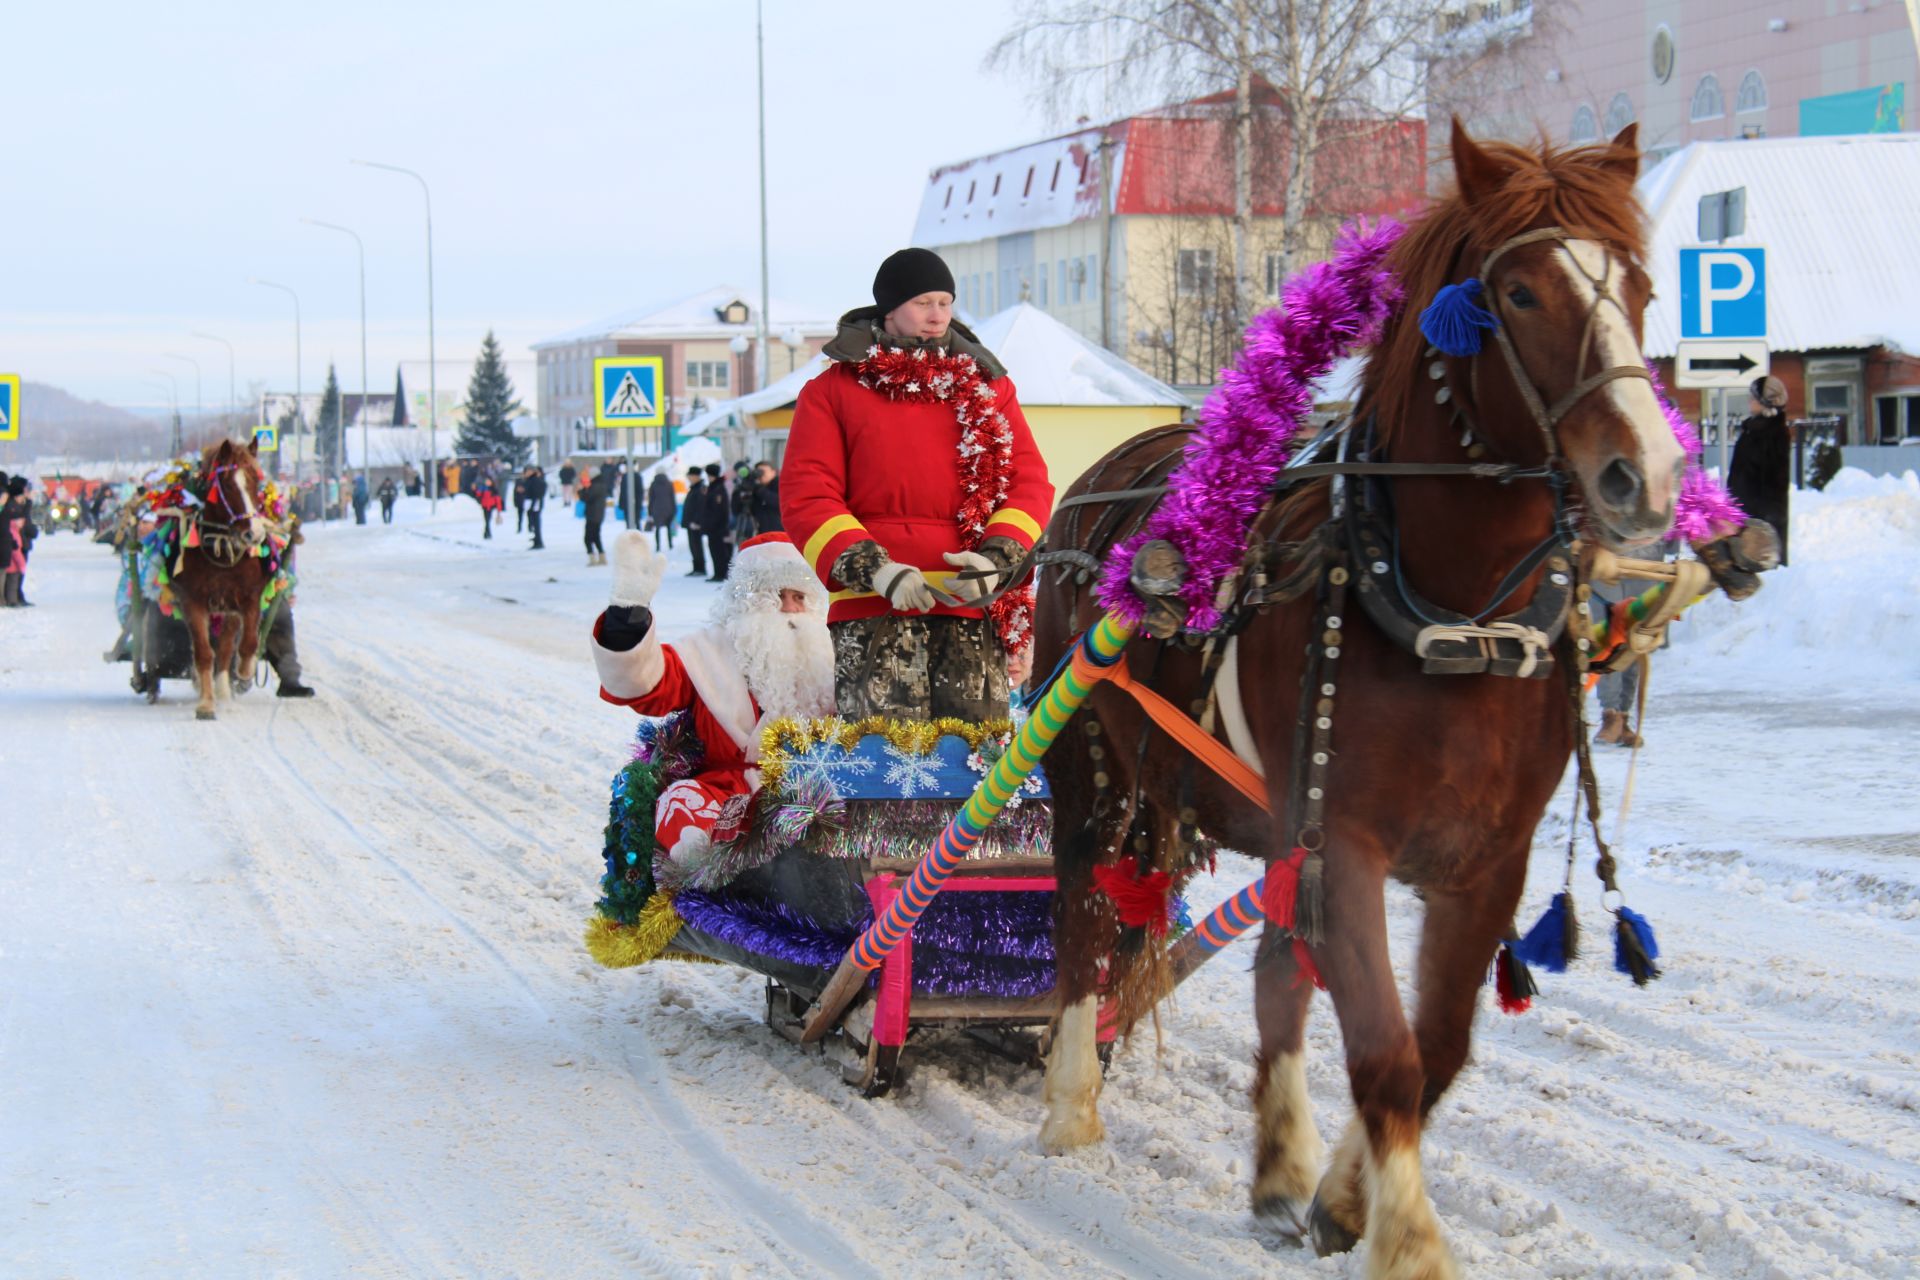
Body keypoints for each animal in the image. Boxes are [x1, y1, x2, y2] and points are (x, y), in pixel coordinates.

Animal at [174, 437, 270, 721]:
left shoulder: (249, 598)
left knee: (227, 648)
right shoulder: (192, 601)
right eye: (227, 485)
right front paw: (206, 703)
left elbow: (248, 643)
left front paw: (246, 672)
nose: (254, 534)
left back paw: (226, 692)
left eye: (255, 481)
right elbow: (204, 653)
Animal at [1036, 122, 1681, 1280]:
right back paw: (1070, 1100)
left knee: (1273, 974)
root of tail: (1117, 465)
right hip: (1088, 762)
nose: (1643, 475)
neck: (1454, 619)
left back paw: (1280, 1167)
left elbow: (1438, 1050)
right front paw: (1411, 1240)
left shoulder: (1484, 862)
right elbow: (1386, 1050)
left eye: (1643, 286)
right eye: (1519, 291)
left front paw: (1341, 1195)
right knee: (1082, 911)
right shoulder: (1351, 843)